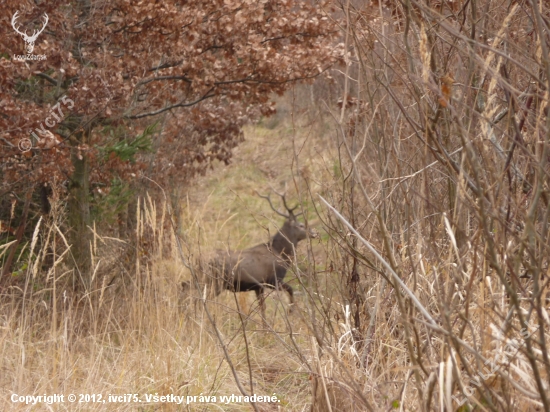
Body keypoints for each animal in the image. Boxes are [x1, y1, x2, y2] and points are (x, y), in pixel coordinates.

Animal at [183, 192, 316, 324]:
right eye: (301, 225)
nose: (314, 232)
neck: (280, 253)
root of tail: (197, 259)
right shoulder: (273, 280)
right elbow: (290, 289)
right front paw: (290, 311)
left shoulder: (258, 286)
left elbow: (262, 307)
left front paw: (266, 325)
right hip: (214, 281)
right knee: (196, 298)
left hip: (201, 278)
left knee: (184, 286)